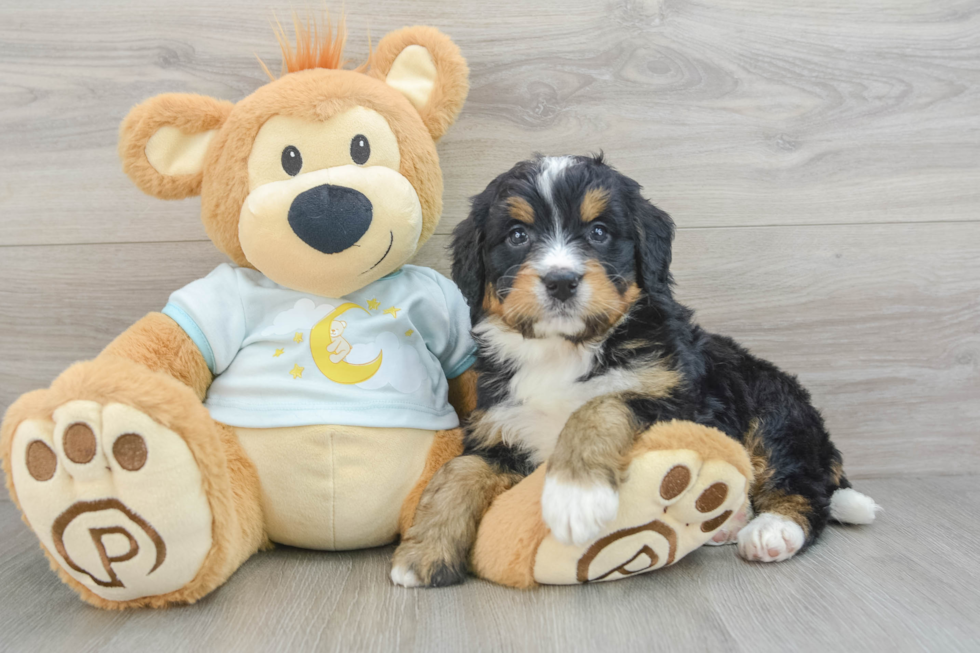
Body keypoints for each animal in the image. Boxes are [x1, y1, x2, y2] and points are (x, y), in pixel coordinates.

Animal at [390, 155, 880, 588]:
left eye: (599, 232)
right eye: (516, 235)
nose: (561, 281)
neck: (565, 350)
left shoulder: (675, 400)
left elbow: (599, 406)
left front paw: (574, 497)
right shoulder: (502, 432)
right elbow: (457, 473)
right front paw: (422, 553)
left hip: (773, 407)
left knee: (801, 482)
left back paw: (771, 530)